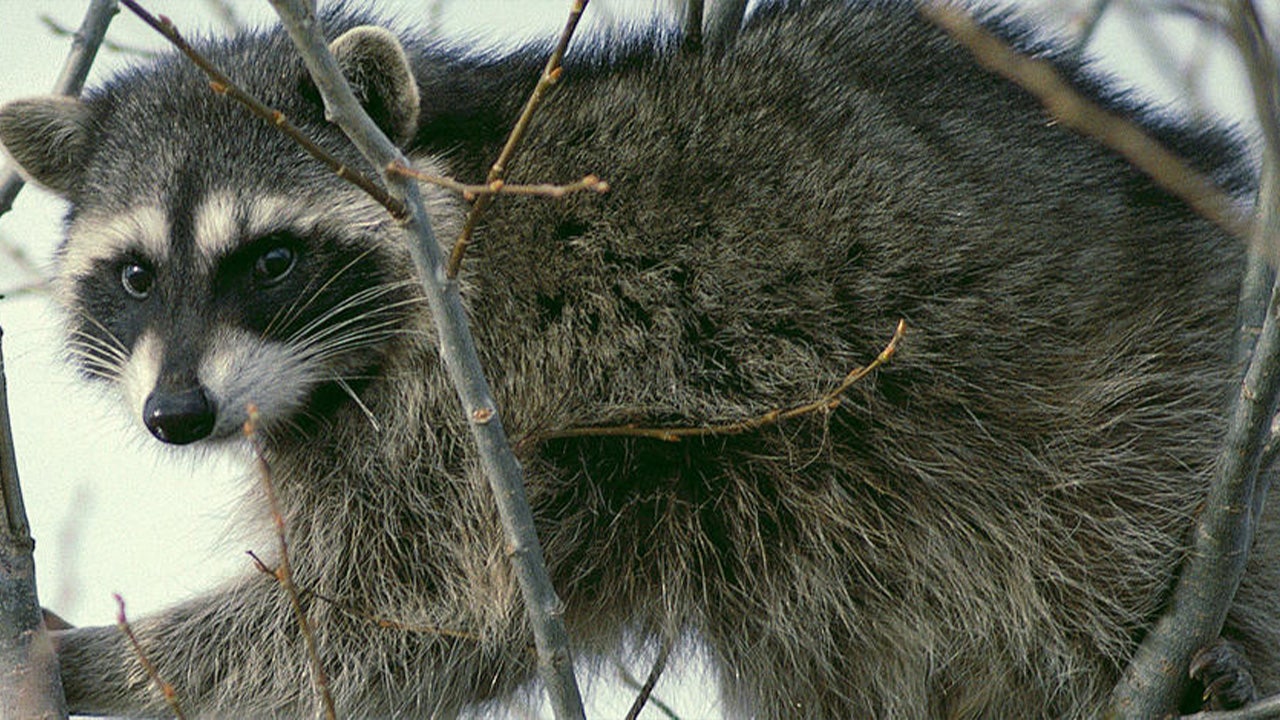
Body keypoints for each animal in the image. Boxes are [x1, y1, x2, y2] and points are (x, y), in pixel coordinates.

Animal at [2, 0, 1280, 712]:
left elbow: (402, 614)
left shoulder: (485, 394)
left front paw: (102, 665)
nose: (177, 415)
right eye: (133, 276)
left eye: (269, 260)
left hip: (1136, 401)